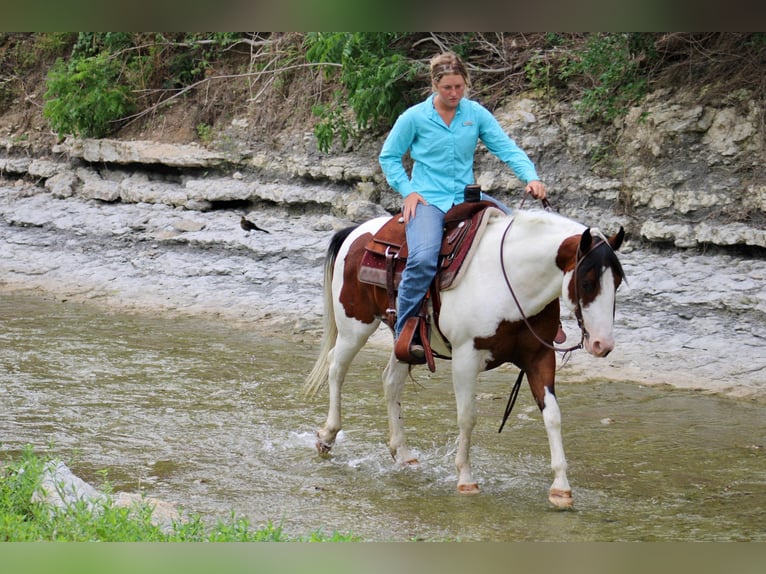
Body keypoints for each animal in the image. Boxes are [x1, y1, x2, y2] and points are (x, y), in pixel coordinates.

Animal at [304, 205, 628, 510]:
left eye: (617, 281)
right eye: (587, 282)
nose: (602, 344)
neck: (509, 282)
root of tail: (357, 231)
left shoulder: (540, 355)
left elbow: (553, 416)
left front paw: (561, 488)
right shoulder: (465, 357)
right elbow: (467, 416)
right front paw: (465, 479)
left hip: (403, 341)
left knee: (391, 382)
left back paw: (403, 453)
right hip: (354, 326)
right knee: (336, 367)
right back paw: (327, 436)